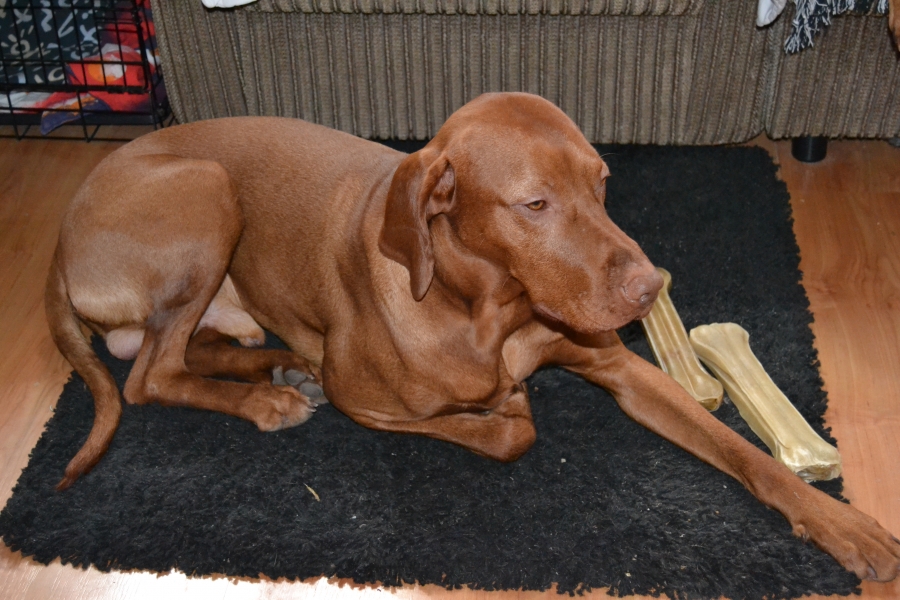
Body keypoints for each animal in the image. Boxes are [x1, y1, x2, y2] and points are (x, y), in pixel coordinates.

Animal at [46, 92, 899, 581]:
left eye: (602, 184)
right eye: (534, 204)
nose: (648, 289)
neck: (496, 308)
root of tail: (63, 233)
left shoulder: (624, 371)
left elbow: (745, 455)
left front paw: (841, 522)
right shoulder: (367, 402)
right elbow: (508, 431)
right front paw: (507, 406)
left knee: (181, 350)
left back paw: (281, 368)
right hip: (210, 187)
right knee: (147, 376)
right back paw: (269, 401)